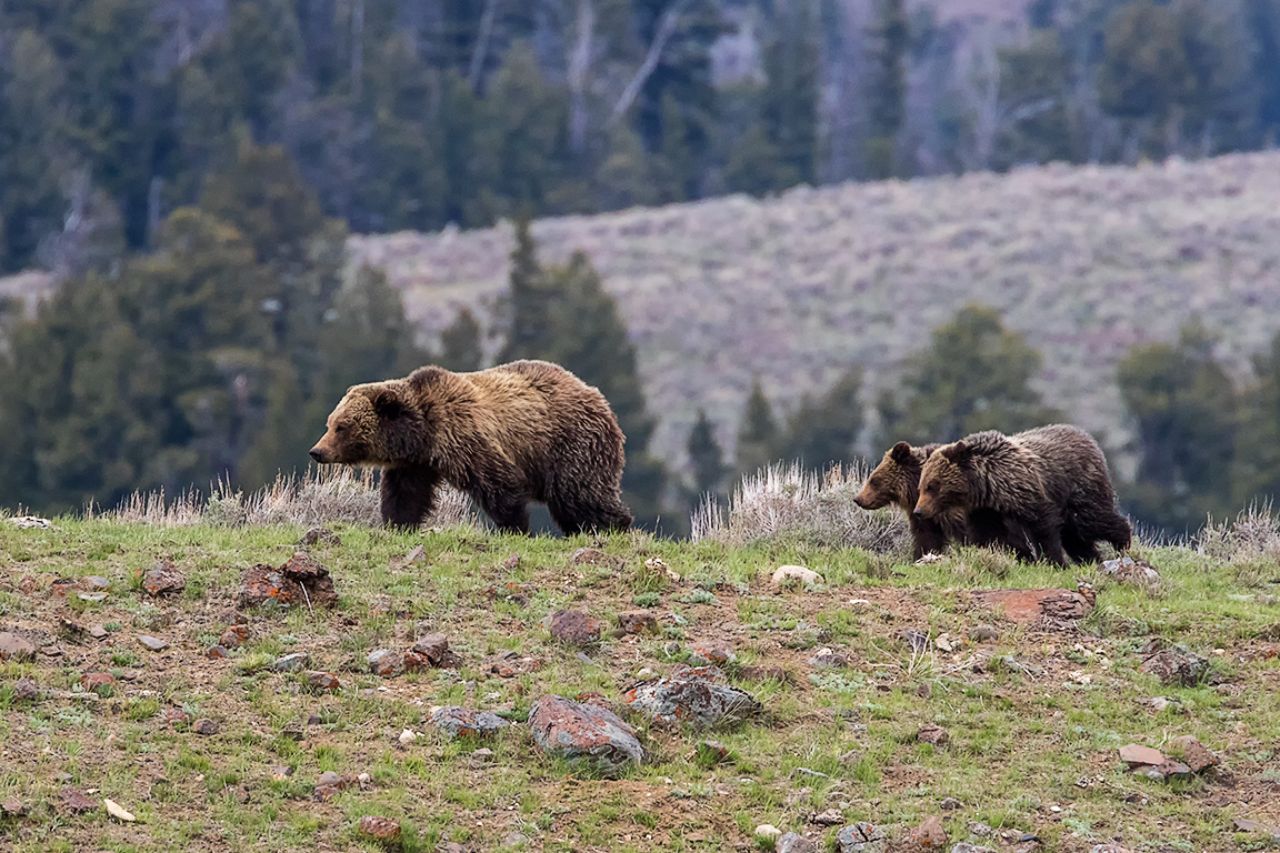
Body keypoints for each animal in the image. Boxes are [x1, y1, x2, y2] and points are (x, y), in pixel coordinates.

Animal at [308, 359, 634, 535]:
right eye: (330, 422)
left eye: (342, 426)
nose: (317, 451)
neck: (424, 433)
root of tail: (599, 398)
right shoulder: (415, 464)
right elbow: (405, 496)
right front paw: (397, 523)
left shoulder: (467, 437)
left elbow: (500, 485)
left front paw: (515, 527)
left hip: (571, 444)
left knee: (582, 494)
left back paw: (613, 526)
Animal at [913, 424, 1131, 567]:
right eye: (921, 486)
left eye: (932, 486)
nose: (918, 511)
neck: (987, 485)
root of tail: (1089, 438)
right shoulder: (985, 510)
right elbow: (987, 536)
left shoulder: (1027, 491)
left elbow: (1043, 527)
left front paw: (1053, 561)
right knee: (1075, 537)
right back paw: (1092, 559)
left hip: (1080, 489)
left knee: (1090, 520)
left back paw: (1123, 543)